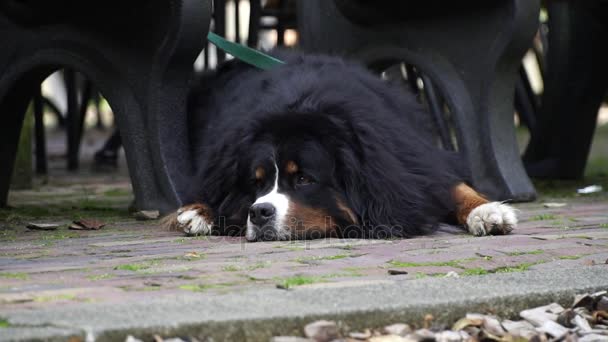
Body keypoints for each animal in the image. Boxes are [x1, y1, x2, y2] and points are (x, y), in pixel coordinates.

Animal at [167, 50, 516, 242]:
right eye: (257, 182)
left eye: (303, 179)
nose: (259, 212)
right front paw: (201, 211)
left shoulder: (412, 161)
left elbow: (455, 186)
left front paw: (489, 212)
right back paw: (197, 213)